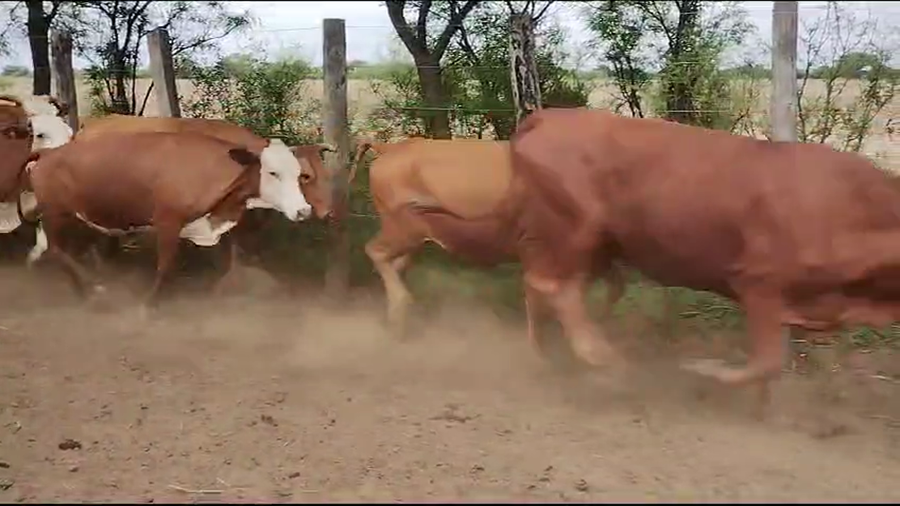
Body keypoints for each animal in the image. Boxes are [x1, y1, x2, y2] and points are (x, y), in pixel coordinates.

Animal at [352, 136, 625, 359]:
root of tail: (392, 147)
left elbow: (609, 288)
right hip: (399, 228)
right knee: (376, 252)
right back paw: (400, 309)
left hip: (409, 237)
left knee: (395, 264)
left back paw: (396, 324)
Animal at [507, 107, 900, 410]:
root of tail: (548, 115)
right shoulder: (759, 281)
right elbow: (768, 362)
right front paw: (703, 371)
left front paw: (762, 406)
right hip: (577, 229)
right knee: (554, 287)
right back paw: (603, 358)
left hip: (580, 242)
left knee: (546, 284)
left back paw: (546, 353)